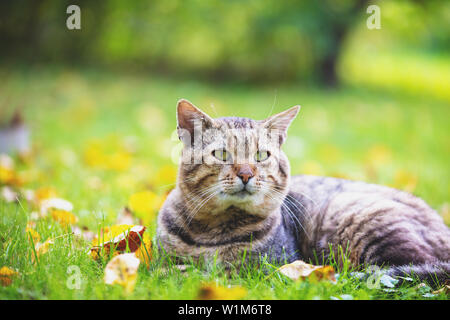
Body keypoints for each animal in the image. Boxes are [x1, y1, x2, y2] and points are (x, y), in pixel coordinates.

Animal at [156, 99, 450, 284]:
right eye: (221, 154)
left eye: (261, 155)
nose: (246, 174)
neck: (212, 232)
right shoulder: (162, 260)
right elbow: (172, 268)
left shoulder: (268, 265)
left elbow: (220, 273)